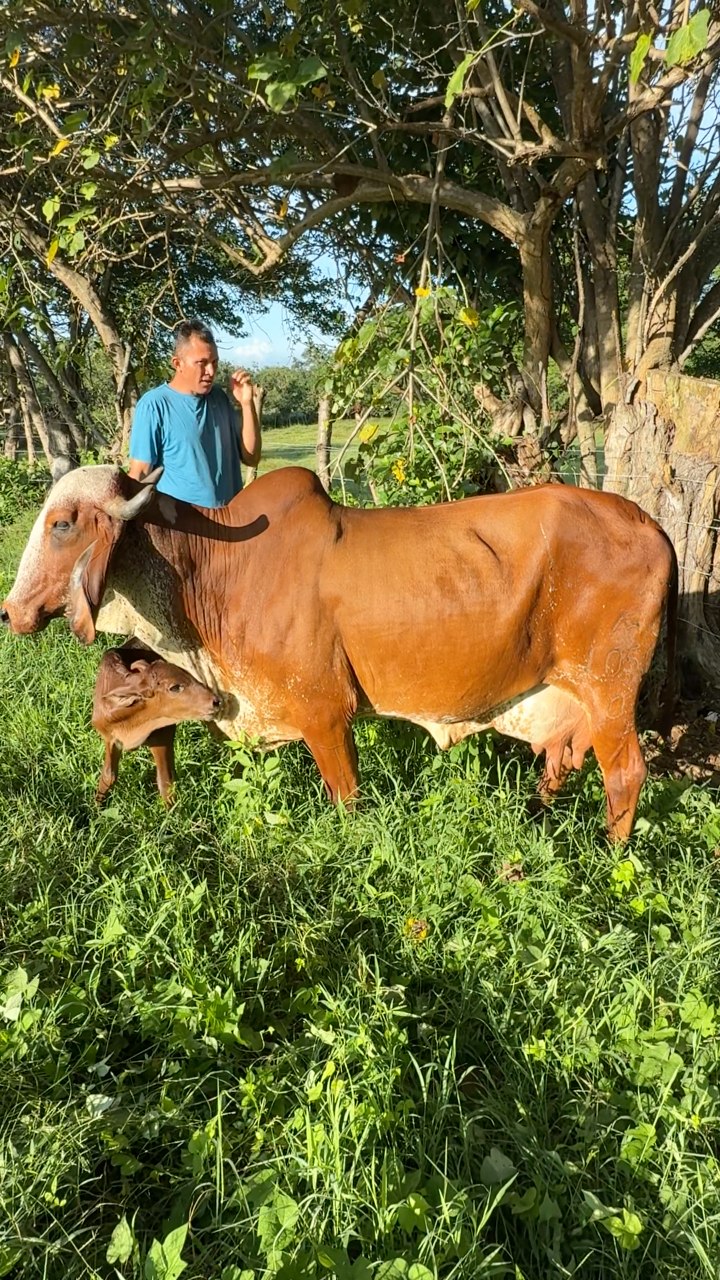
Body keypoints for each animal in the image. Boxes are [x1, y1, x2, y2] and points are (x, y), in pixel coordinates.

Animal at [92, 641, 221, 804]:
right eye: (174, 687)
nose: (215, 701)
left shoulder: (162, 736)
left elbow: (165, 782)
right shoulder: (110, 738)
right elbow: (108, 776)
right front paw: (97, 807)